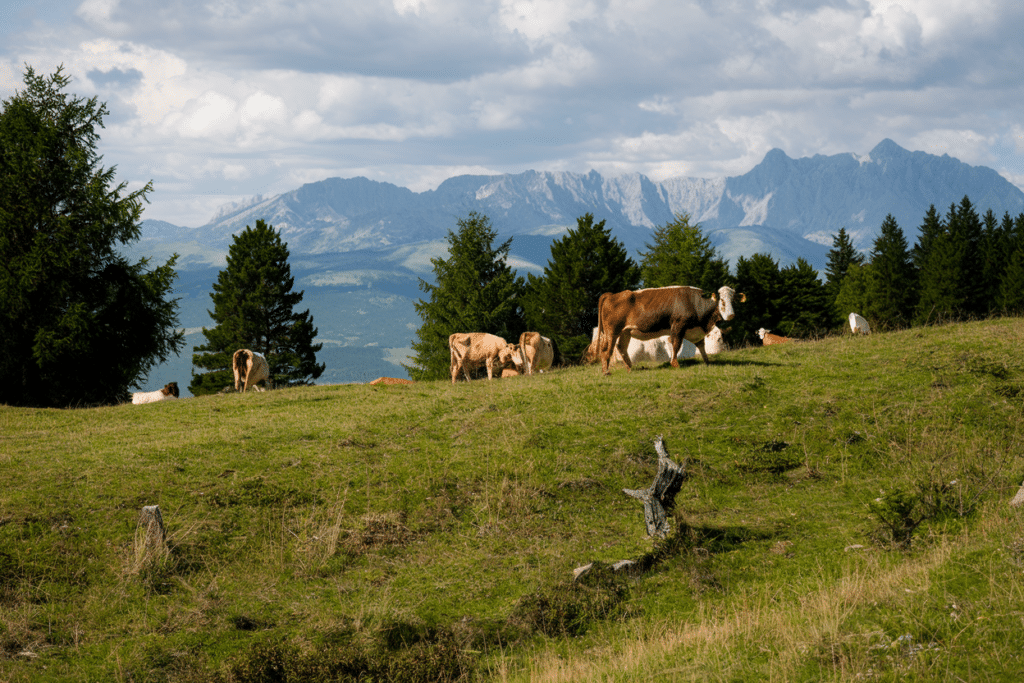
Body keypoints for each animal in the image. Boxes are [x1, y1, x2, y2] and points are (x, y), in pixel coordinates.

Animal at [596, 285, 745, 375]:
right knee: (606, 350)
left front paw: (708, 362)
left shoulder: (695, 331)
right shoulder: (678, 326)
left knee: (621, 347)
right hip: (612, 331)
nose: (731, 315)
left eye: (734, 301)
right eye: (722, 301)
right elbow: (676, 344)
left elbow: (701, 346)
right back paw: (606, 372)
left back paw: (629, 368)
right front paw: (675, 364)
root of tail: (612, 295)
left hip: (625, 332)